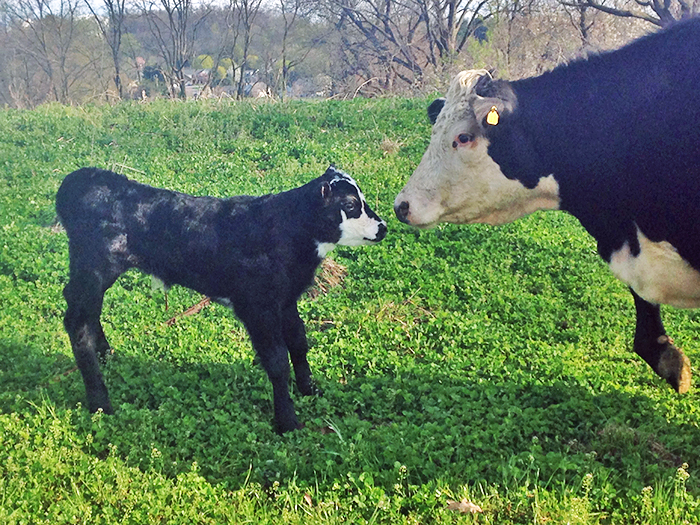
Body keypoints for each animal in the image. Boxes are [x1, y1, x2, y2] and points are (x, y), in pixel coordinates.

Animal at [58, 166, 388, 432]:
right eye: (350, 205)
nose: (383, 227)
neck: (286, 229)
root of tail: (80, 179)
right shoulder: (257, 305)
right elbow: (277, 360)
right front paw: (287, 422)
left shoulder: (285, 298)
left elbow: (298, 341)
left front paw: (310, 389)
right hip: (94, 266)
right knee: (77, 322)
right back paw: (100, 402)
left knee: (84, 309)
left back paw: (106, 354)